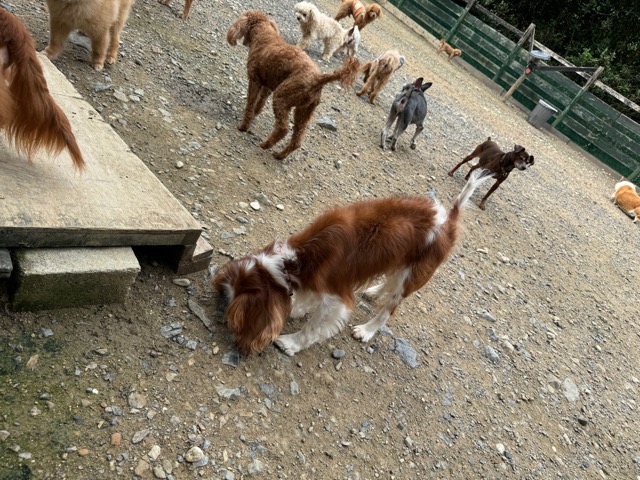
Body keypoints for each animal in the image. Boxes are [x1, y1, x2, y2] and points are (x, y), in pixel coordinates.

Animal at [214, 169, 493, 356]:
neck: (294, 261)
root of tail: (449, 218)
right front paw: (297, 308)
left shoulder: (337, 298)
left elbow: (313, 327)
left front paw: (291, 343)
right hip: (400, 262)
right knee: (388, 282)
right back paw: (373, 291)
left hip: (413, 275)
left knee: (389, 309)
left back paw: (367, 330)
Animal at [227, 10, 359, 160]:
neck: (264, 37)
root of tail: (318, 78)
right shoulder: (268, 86)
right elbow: (259, 104)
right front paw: (255, 114)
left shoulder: (255, 81)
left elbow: (250, 105)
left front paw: (244, 126)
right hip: (304, 111)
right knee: (297, 139)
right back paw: (280, 155)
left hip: (281, 97)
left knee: (283, 128)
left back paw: (265, 145)